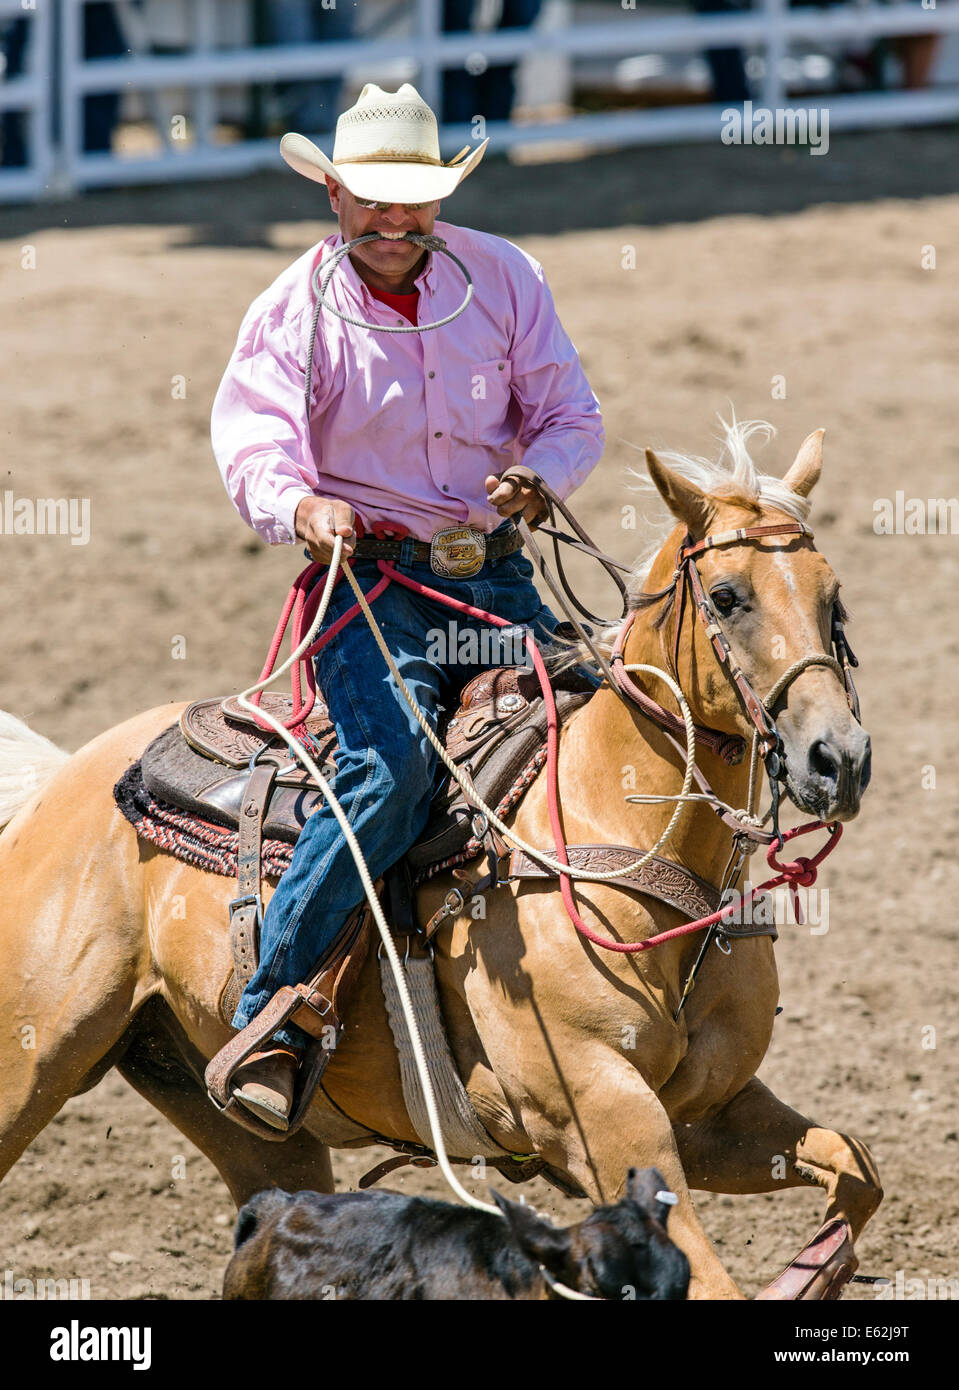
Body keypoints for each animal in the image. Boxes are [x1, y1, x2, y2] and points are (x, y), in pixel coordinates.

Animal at [0, 421, 880, 1300]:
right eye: (727, 597)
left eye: (832, 597)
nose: (837, 758)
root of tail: (66, 781)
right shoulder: (603, 1115)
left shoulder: (708, 1117)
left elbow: (855, 1167)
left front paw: (816, 1271)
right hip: (33, 1058)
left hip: (233, 1113)